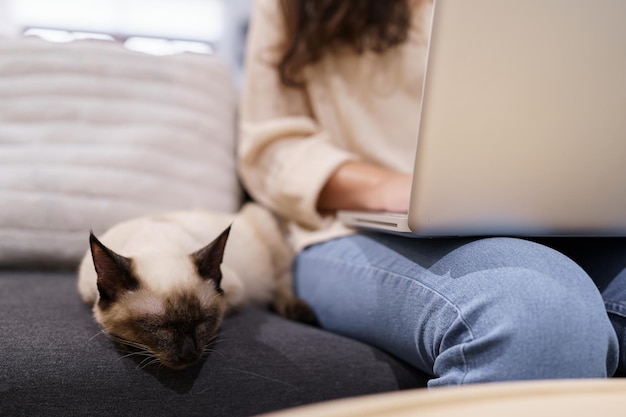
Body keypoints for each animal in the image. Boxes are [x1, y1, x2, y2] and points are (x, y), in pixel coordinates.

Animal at [77, 203, 312, 368]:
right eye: (161, 327)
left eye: (202, 321)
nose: (189, 353)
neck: (156, 245)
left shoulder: (235, 295)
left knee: (282, 284)